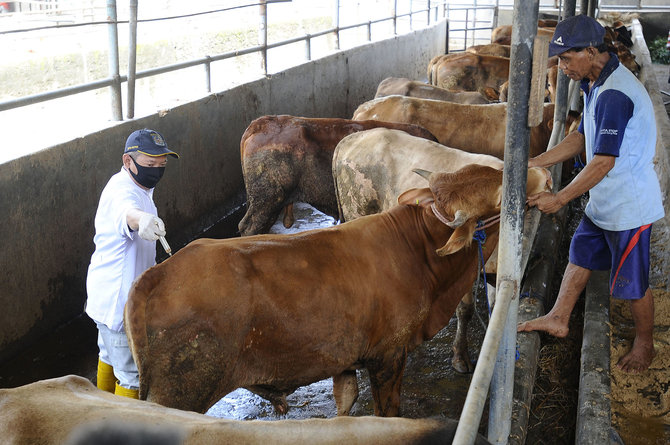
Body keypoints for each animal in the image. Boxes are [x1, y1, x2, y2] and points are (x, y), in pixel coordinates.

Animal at [124, 162, 552, 416]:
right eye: (502, 195)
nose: (544, 173)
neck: (419, 251)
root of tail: (156, 275)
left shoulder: (345, 359)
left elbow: (345, 404)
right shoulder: (388, 356)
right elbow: (388, 411)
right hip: (181, 393)